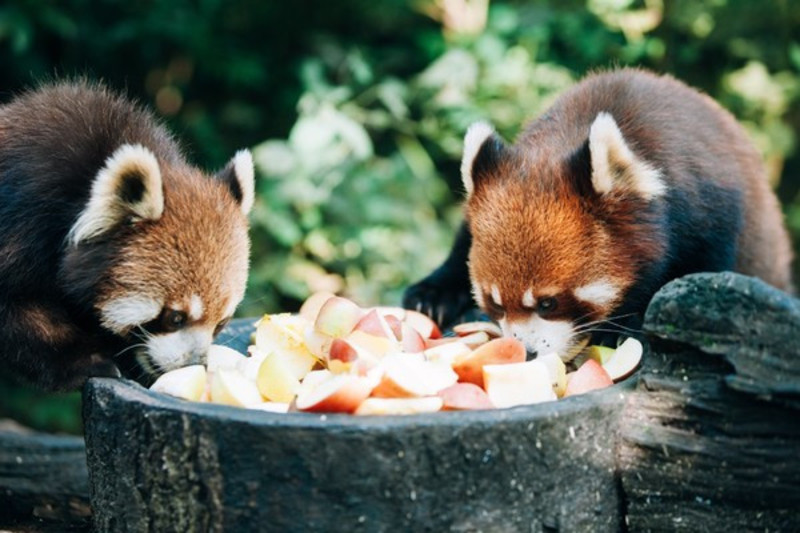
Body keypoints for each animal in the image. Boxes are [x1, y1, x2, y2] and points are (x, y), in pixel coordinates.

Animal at [0, 81, 255, 388]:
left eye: (222, 323)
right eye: (175, 318)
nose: (194, 363)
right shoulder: (21, 220)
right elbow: (18, 311)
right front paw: (84, 361)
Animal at [406, 66, 792, 358]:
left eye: (548, 303)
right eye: (495, 304)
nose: (526, 352)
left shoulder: (710, 214)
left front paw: (622, 325)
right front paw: (433, 295)